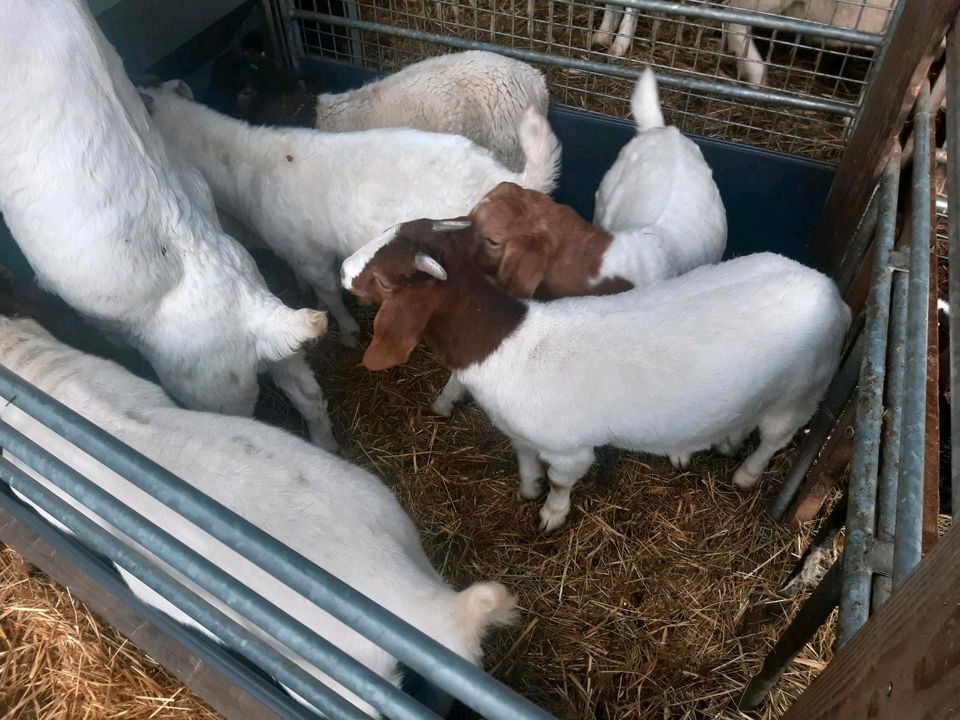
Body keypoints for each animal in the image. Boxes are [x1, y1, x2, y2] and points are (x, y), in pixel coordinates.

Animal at [142, 81, 564, 346]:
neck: (246, 164)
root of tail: (512, 179)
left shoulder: (310, 253)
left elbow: (329, 293)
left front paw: (345, 330)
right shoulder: (295, 250)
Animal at [342, 222, 852, 532]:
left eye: (385, 280)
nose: (344, 270)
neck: (511, 342)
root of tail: (833, 293)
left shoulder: (570, 448)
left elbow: (562, 480)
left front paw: (551, 513)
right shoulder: (521, 431)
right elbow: (524, 459)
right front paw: (528, 489)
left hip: (801, 393)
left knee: (774, 439)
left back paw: (746, 474)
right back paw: (726, 441)